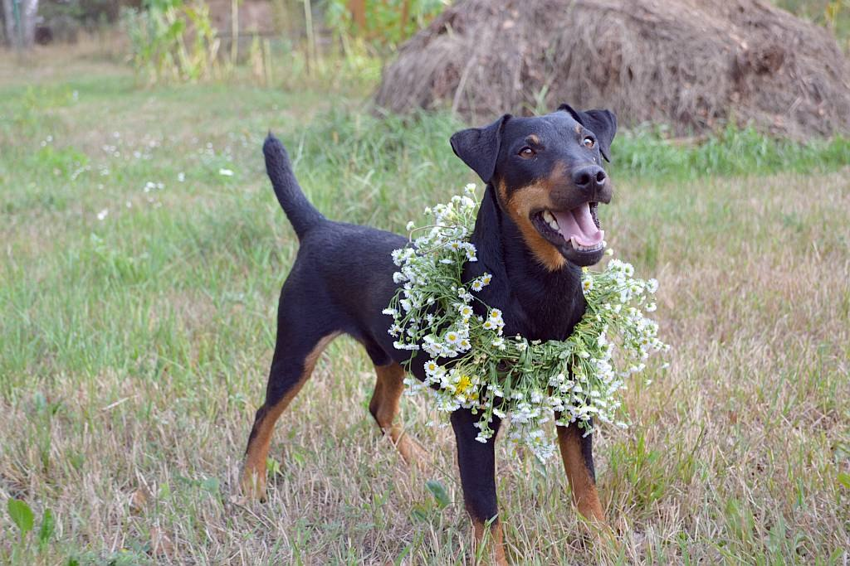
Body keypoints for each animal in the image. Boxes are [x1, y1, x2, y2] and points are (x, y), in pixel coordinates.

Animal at [242, 103, 612, 564]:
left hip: (388, 353)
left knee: (379, 408)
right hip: (297, 350)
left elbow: (587, 488)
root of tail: (318, 227)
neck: (540, 290)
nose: (591, 176)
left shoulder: (575, 403)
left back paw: (419, 460)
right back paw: (250, 485)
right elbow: (485, 508)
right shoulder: (472, 421)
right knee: (265, 414)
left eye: (588, 141)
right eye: (526, 151)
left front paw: (608, 545)